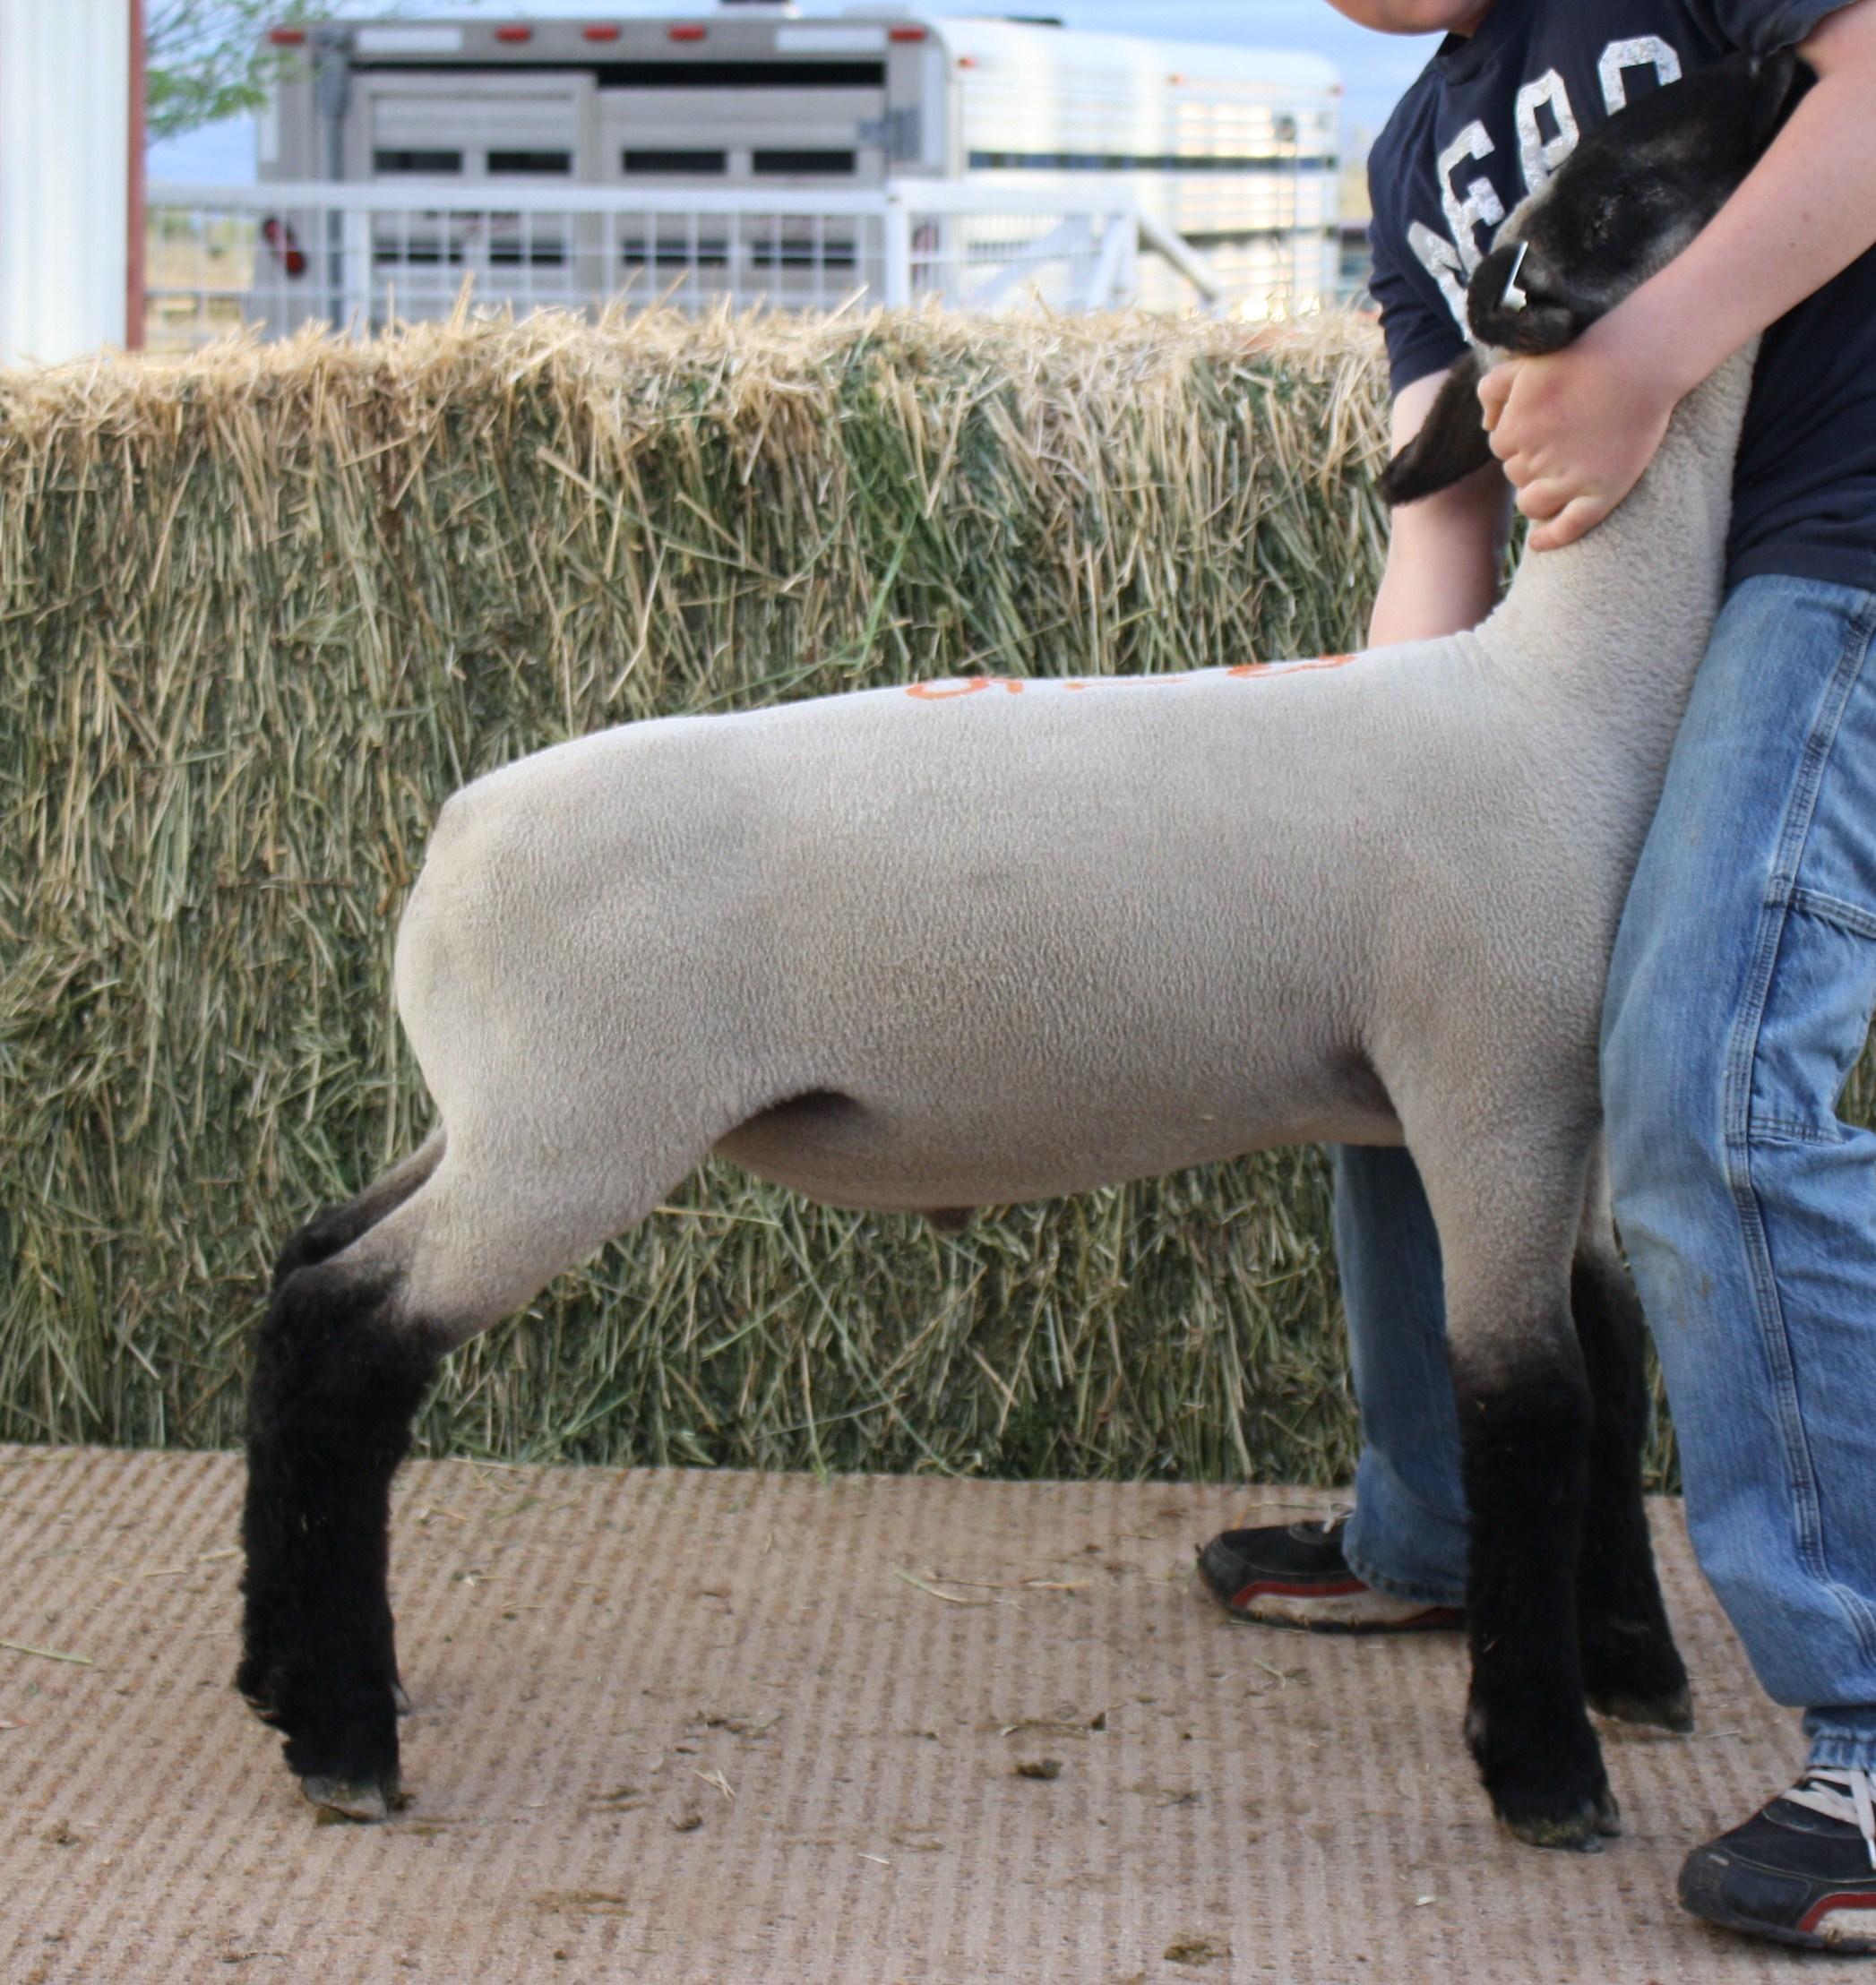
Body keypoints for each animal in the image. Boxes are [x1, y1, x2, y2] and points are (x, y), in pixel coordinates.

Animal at [237, 50, 1810, 1851]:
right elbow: (1530, 1404)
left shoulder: (1569, 1115)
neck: (1561, 709)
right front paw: (1543, 1764)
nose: (1782, 65)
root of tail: (453, 836)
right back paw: (345, 1738)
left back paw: (280, 1676)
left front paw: (1630, 1669)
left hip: (492, 1112)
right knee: (350, 1334)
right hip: (576, 1129)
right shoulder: (1482, 1093)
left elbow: (1614, 1369)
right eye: (1613, 187)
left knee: (302, 1269)